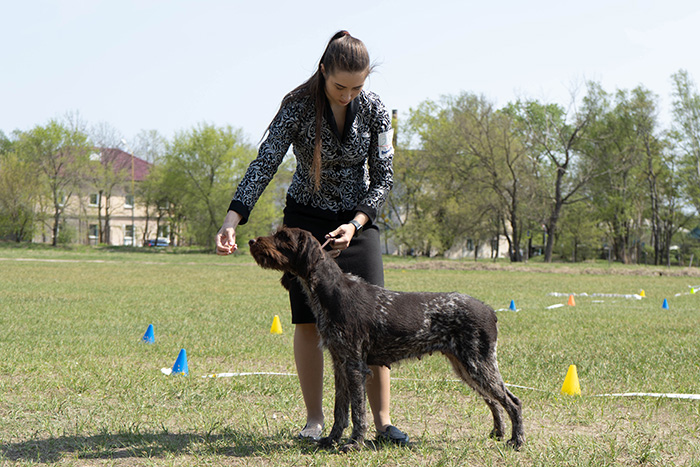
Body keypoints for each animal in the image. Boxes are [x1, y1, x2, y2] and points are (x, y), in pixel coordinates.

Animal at [249, 228, 524, 454]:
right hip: (465, 367)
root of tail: (490, 311)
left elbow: (358, 412)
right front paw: (331, 440)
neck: (331, 292)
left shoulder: (355, 366)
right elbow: (340, 410)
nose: (252, 241)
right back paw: (498, 433)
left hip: (478, 364)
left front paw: (354, 443)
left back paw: (516, 441)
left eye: (284, 236)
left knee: (513, 401)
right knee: (494, 400)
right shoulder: (340, 363)